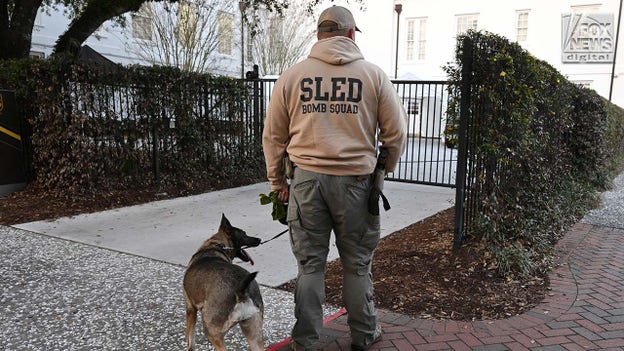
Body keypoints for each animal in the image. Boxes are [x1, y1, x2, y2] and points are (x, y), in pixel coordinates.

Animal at [184, 214, 264, 351]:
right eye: (244, 234)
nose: (259, 239)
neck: (216, 245)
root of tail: (241, 293)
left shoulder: (190, 308)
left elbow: (190, 341)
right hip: (253, 333)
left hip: (212, 332)